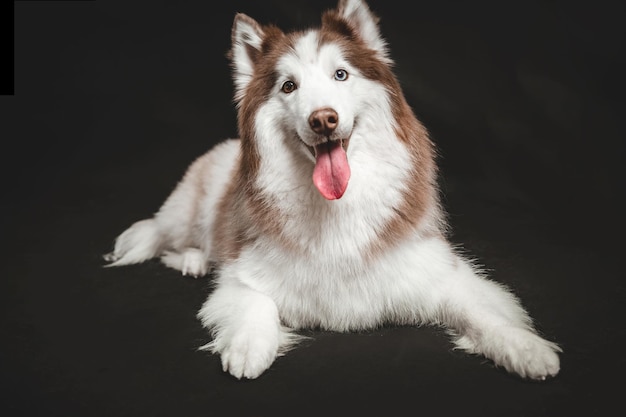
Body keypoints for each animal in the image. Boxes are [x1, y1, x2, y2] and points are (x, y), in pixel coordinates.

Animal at [103, 0, 560, 378]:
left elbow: (483, 310)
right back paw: (194, 261)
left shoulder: (433, 273)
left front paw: (527, 348)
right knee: (167, 236)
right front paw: (249, 348)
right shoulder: (244, 274)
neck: (336, 205)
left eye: (341, 74)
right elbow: (254, 299)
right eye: (288, 86)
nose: (324, 119)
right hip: (187, 212)